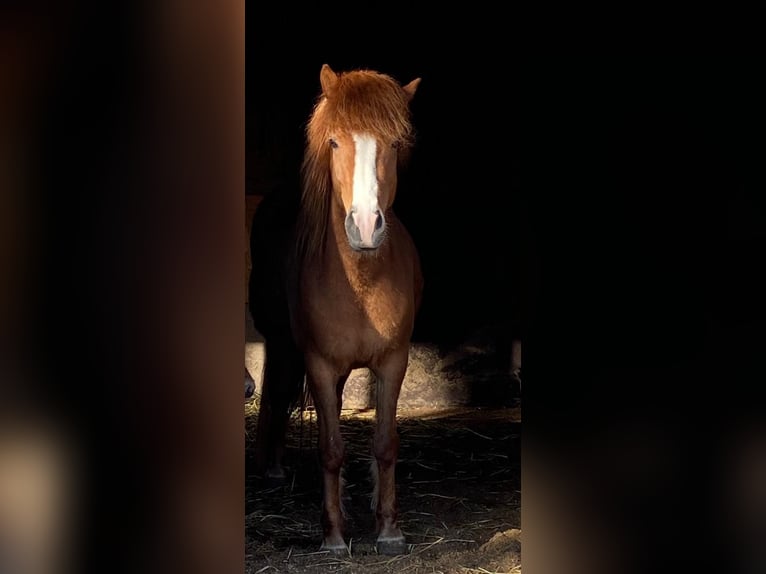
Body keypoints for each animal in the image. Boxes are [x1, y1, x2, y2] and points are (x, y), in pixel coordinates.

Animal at [249, 64, 424, 560]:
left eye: (395, 143)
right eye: (333, 143)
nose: (365, 226)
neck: (359, 282)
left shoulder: (393, 361)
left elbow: (385, 443)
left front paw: (388, 529)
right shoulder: (321, 365)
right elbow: (330, 448)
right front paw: (332, 536)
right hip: (283, 345)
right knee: (275, 392)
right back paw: (273, 468)